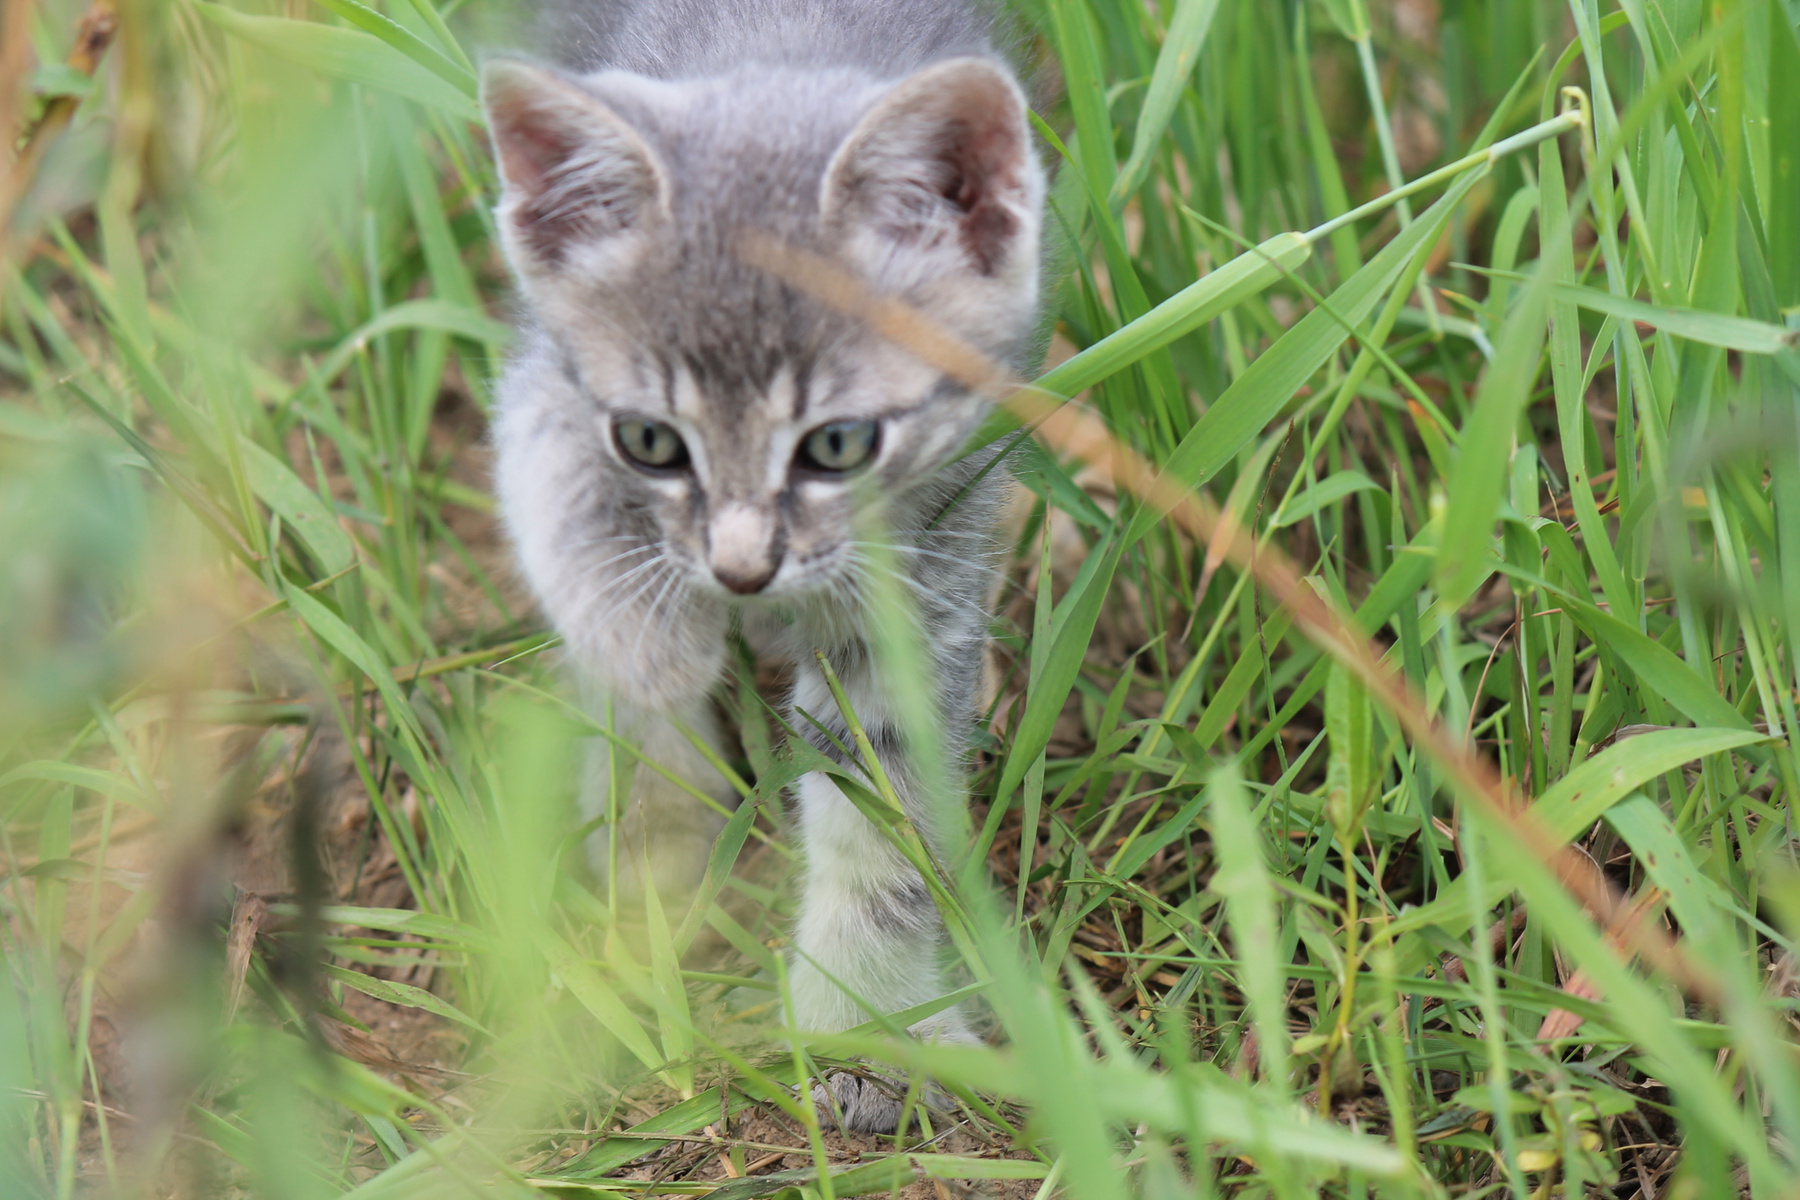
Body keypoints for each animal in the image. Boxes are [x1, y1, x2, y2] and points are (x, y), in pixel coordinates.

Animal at [481, 0, 1044, 1131]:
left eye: (838, 444)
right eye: (651, 440)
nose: (741, 572)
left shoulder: (934, 561)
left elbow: (886, 807)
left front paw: (871, 1029)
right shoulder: (544, 375)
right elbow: (548, 486)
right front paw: (649, 648)